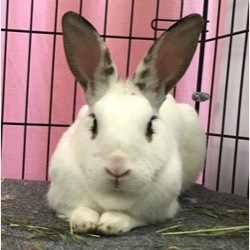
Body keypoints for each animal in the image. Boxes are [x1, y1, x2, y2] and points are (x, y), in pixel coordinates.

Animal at [46, 11, 205, 234]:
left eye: (150, 126)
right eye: (94, 123)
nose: (117, 167)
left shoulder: (158, 211)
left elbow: (130, 217)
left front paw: (110, 223)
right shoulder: (61, 197)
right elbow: (79, 209)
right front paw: (85, 223)